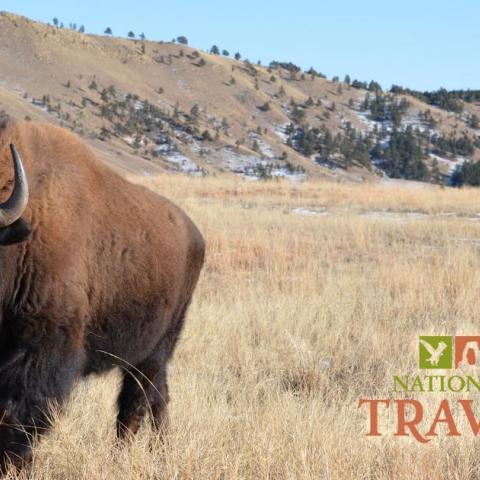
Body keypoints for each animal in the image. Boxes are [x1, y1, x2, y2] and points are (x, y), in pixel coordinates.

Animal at [0, 121, 204, 472]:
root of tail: (195, 235)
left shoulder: (41, 350)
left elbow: (15, 412)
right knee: (158, 398)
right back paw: (160, 453)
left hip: (155, 348)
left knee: (134, 405)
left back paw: (122, 458)